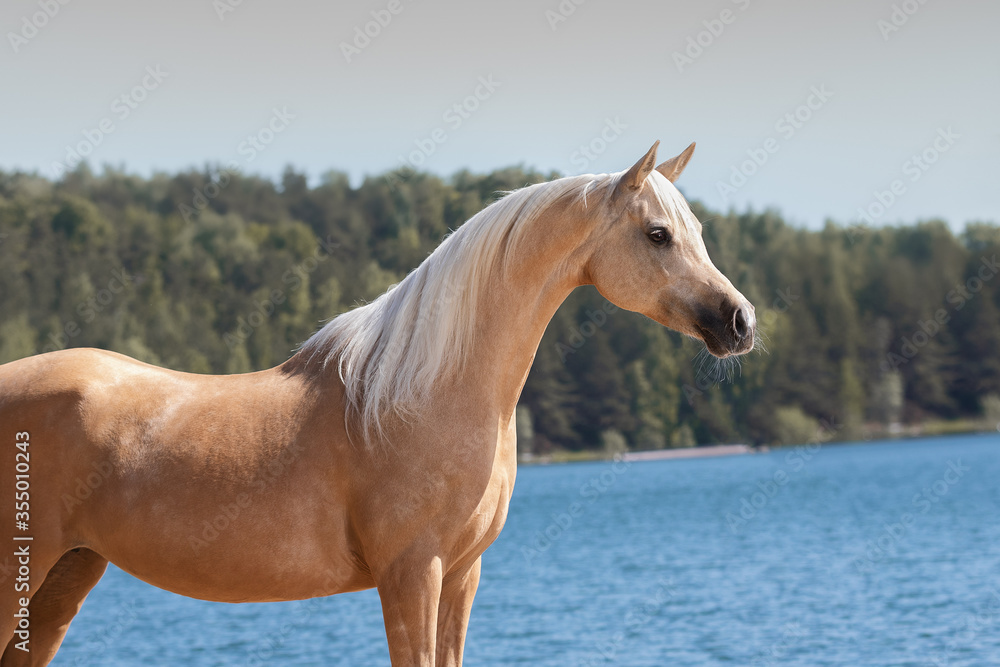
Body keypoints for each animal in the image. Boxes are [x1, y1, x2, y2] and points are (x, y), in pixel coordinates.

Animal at [0, 141, 755, 666]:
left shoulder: (461, 575)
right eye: (657, 233)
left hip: (65, 577)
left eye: (696, 229)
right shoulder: (410, 574)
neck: (421, 396)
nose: (740, 321)